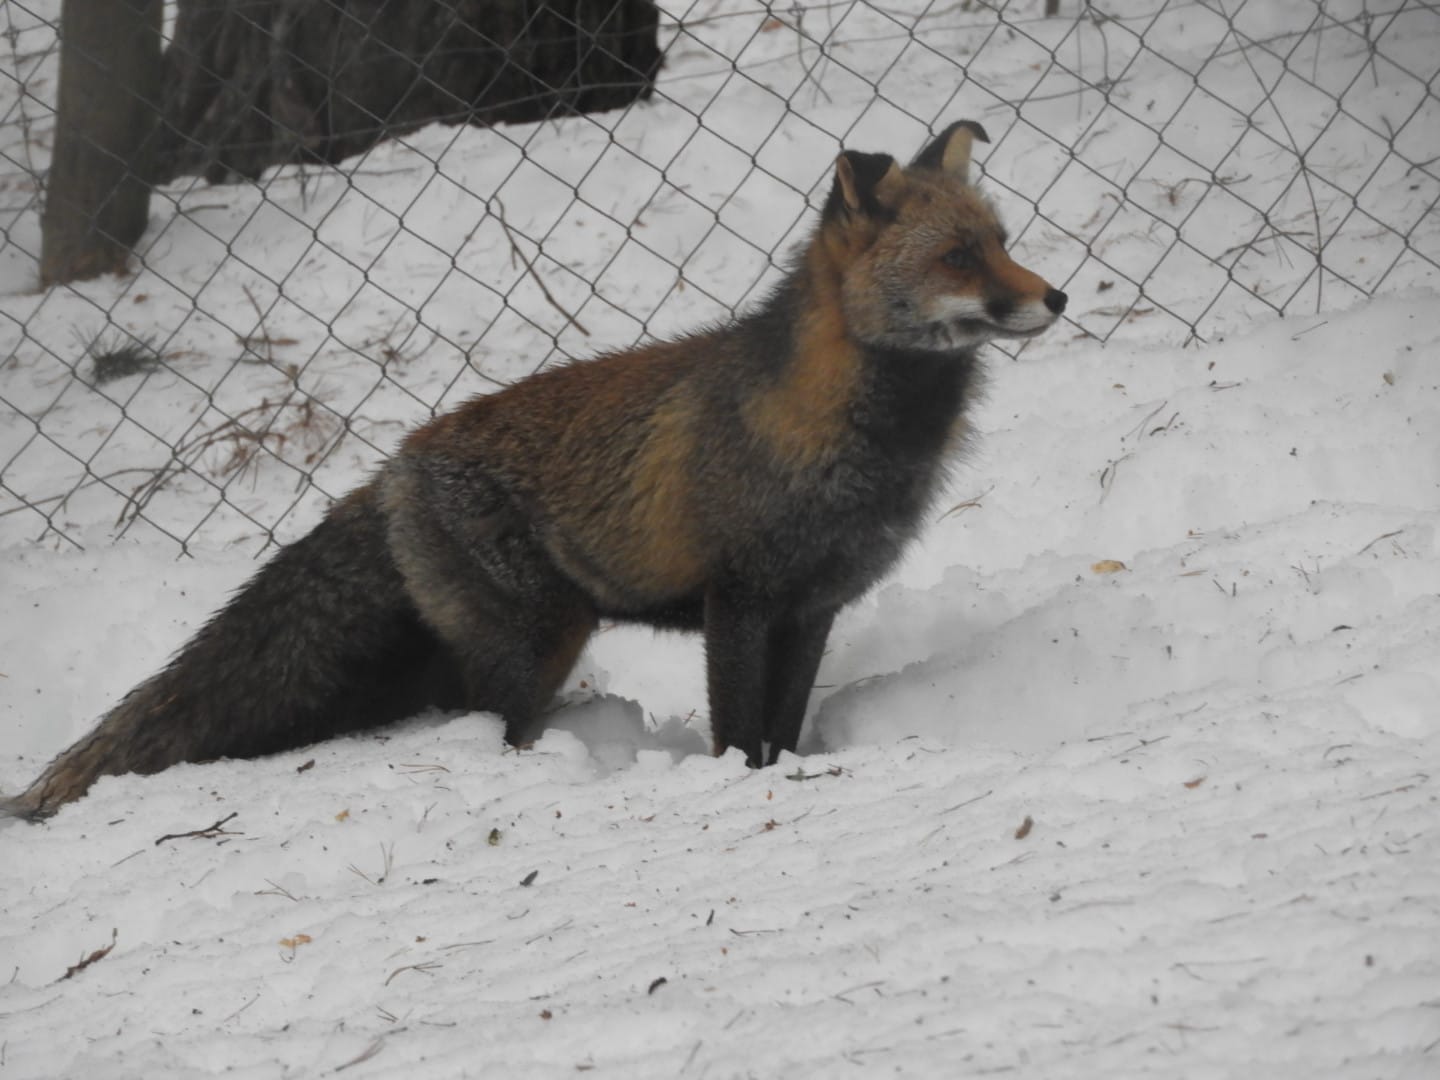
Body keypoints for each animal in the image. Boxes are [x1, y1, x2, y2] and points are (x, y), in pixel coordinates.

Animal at [4, 120, 1066, 820]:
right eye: (960, 257)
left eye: (1002, 243)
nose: (1057, 297)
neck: (848, 439)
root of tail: (391, 469)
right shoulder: (741, 598)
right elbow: (736, 734)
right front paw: (737, 792)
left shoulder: (813, 606)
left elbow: (782, 729)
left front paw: (788, 776)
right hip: (539, 641)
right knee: (483, 730)